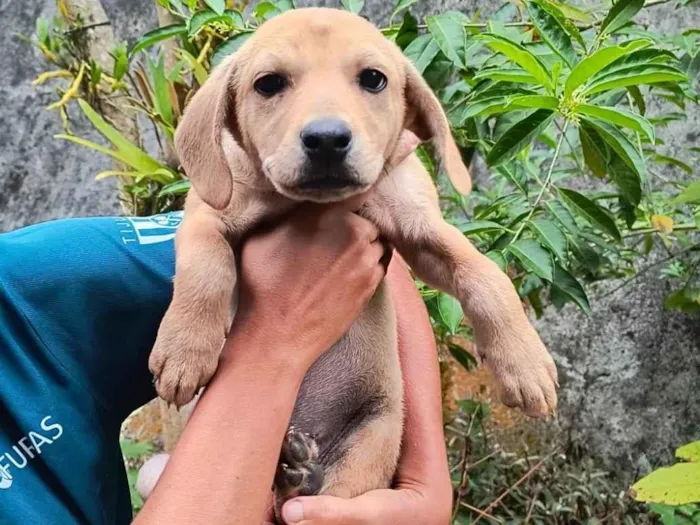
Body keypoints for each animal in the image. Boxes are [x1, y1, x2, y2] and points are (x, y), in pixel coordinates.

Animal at [142, 7, 556, 520]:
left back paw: (297, 476)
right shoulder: (206, 215)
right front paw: (184, 350)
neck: (308, 205)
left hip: (369, 441)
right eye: (268, 84)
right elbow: (206, 269)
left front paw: (526, 365)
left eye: (373, 79)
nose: (326, 140)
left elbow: (486, 276)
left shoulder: (420, 227)